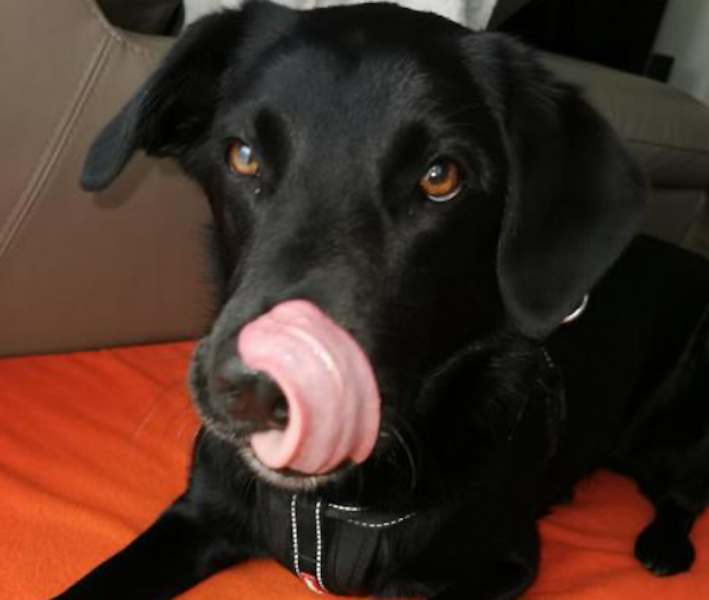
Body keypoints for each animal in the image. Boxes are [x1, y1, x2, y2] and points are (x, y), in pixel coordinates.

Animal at [53, 2, 709, 599]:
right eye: (243, 156)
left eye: (441, 177)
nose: (261, 394)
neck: (331, 505)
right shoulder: (197, 513)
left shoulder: (507, 561)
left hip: (675, 430)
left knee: (685, 492)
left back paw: (664, 546)